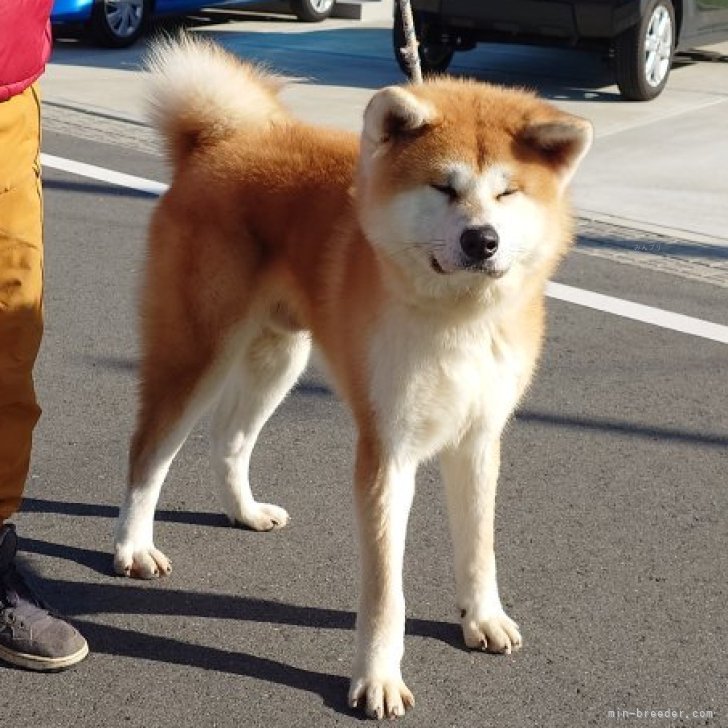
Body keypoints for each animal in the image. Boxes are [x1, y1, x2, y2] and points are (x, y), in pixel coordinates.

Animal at [114, 37, 592, 720]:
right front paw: (378, 677)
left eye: (507, 194)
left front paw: (482, 617)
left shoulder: (478, 439)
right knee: (149, 453)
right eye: (444, 187)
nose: (483, 240)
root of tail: (220, 142)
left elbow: (479, 547)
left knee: (229, 440)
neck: (460, 318)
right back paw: (132, 546)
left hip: (279, 355)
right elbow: (387, 593)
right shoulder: (387, 452)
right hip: (196, 351)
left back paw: (244, 512)